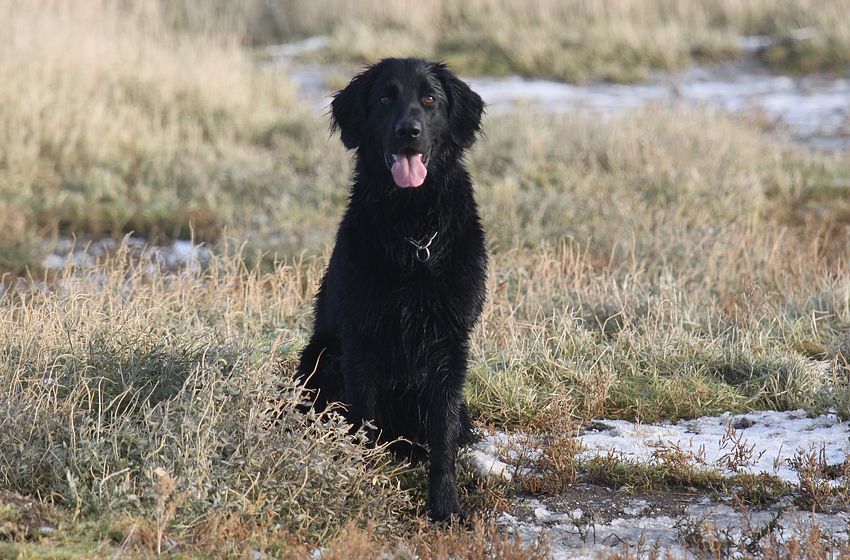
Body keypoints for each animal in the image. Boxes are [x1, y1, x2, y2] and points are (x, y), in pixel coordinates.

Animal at [296, 58, 486, 521]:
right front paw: (363, 486)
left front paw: (446, 507)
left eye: (430, 99)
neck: (413, 233)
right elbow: (363, 424)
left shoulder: (451, 344)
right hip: (320, 358)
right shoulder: (360, 340)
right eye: (385, 97)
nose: (408, 131)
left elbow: (443, 437)